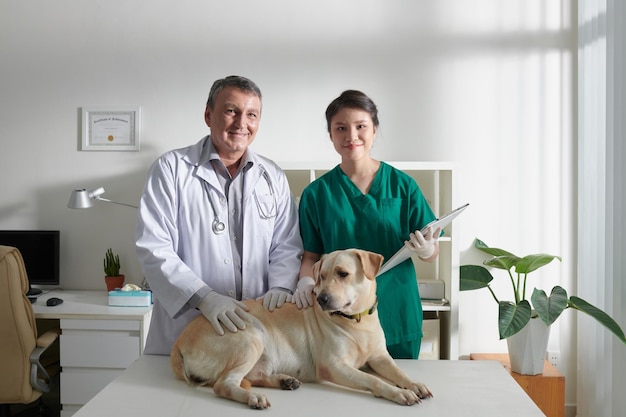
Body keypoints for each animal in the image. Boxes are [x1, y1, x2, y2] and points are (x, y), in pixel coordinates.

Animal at [171, 249, 434, 408]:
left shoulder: (380, 357)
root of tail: (178, 344)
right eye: (321, 277)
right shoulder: (334, 366)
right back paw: (253, 397)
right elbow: (374, 381)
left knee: (250, 376)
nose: (322, 299)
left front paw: (414, 384)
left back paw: (284, 381)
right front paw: (399, 393)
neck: (356, 321)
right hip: (252, 336)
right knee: (223, 384)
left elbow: (399, 372)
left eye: (343, 274)